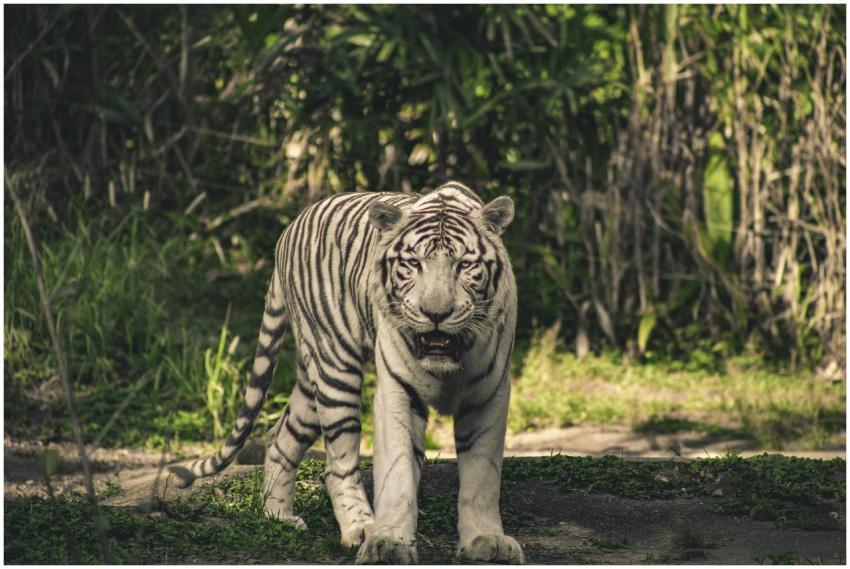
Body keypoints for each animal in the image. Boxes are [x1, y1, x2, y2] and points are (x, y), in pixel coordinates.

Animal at [170, 181, 523, 564]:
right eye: (413, 264)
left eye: (465, 265)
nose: (436, 313)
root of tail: (288, 231)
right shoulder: (397, 390)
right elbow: (397, 471)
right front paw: (389, 542)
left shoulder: (488, 393)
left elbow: (482, 475)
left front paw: (486, 541)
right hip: (334, 366)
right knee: (337, 464)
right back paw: (360, 528)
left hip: (312, 379)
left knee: (281, 436)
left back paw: (278, 517)